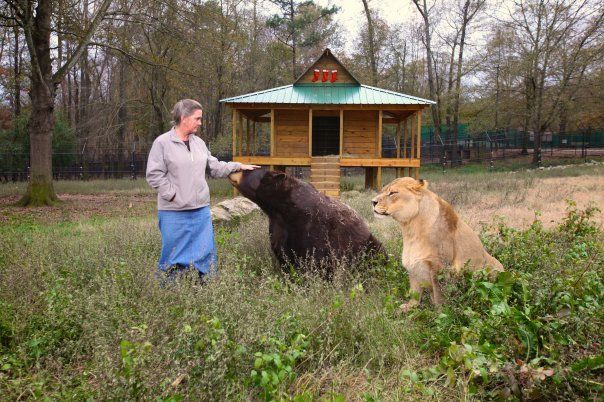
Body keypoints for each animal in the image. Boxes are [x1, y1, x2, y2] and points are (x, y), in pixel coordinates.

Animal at [229, 170, 384, 276]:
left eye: (249, 171)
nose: (233, 170)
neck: (281, 211)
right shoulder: (279, 227)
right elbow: (283, 255)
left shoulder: (312, 227)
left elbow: (313, 259)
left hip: (368, 245)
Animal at [370, 177, 502, 310]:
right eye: (383, 190)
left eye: (392, 193)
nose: (373, 202)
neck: (410, 229)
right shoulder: (412, 264)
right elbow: (414, 291)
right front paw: (409, 307)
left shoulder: (440, 266)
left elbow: (439, 295)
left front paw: (440, 312)